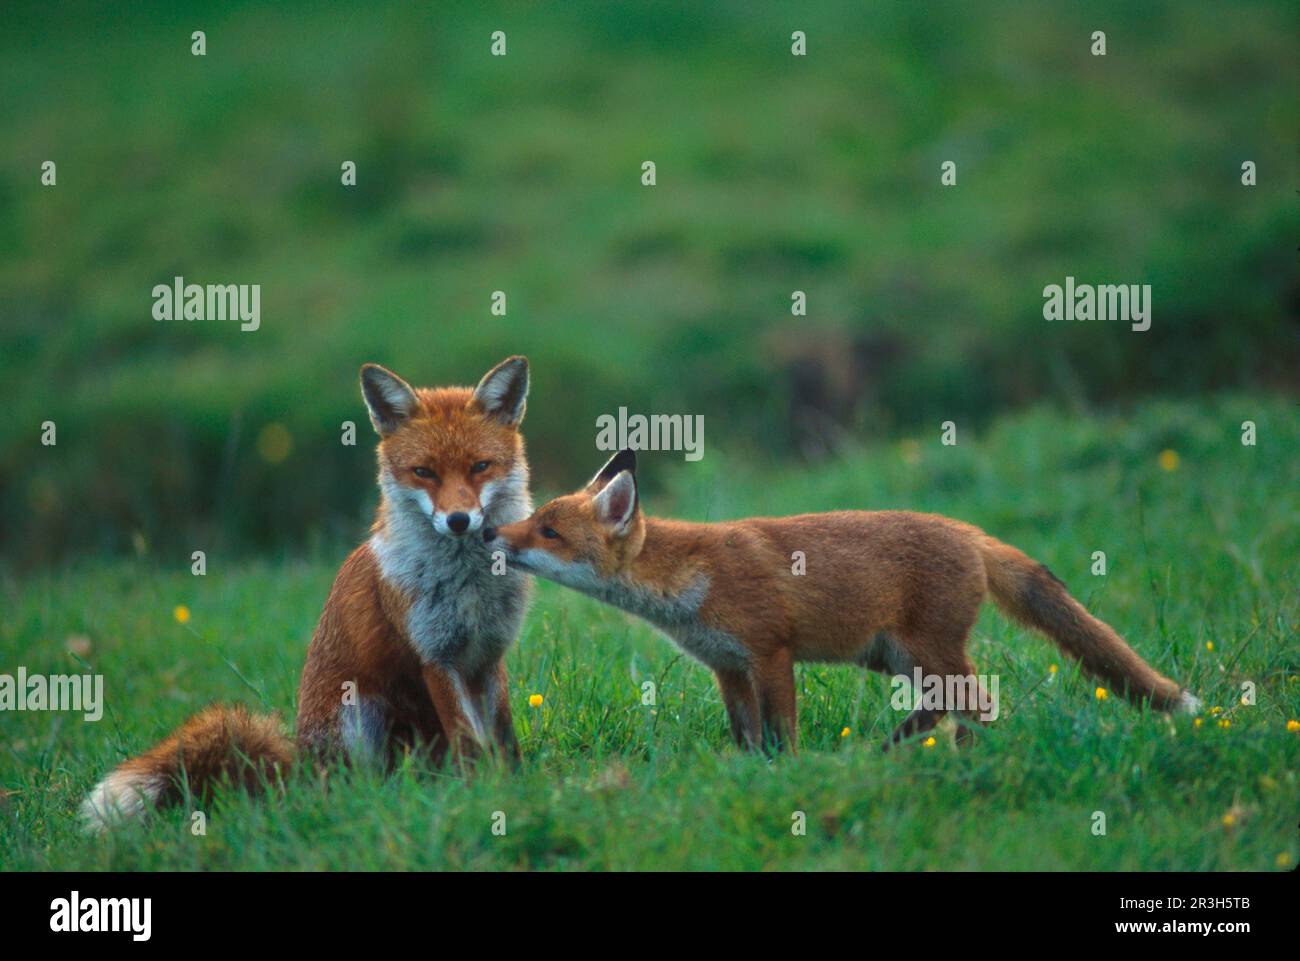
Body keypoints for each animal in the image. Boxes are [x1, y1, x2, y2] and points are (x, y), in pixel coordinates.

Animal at [81, 357, 534, 831]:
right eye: (424, 472)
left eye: (480, 466)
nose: (459, 520)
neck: (470, 585)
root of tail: (301, 770)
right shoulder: (436, 657)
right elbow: (470, 740)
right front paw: (481, 792)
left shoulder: (488, 656)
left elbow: (501, 735)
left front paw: (513, 784)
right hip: (356, 710)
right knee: (355, 786)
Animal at [484, 449, 1200, 752]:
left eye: (547, 532)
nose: (488, 532)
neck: (690, 579)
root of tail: (969, 532)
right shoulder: (727, 667)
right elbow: (746, 735)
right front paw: (750, 769)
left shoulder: (770, 652)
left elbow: (782, 730)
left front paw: (790, 773)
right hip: (896, 660)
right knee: (947, 710)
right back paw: (894, 749)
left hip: (927, 652)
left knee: (977, 706)